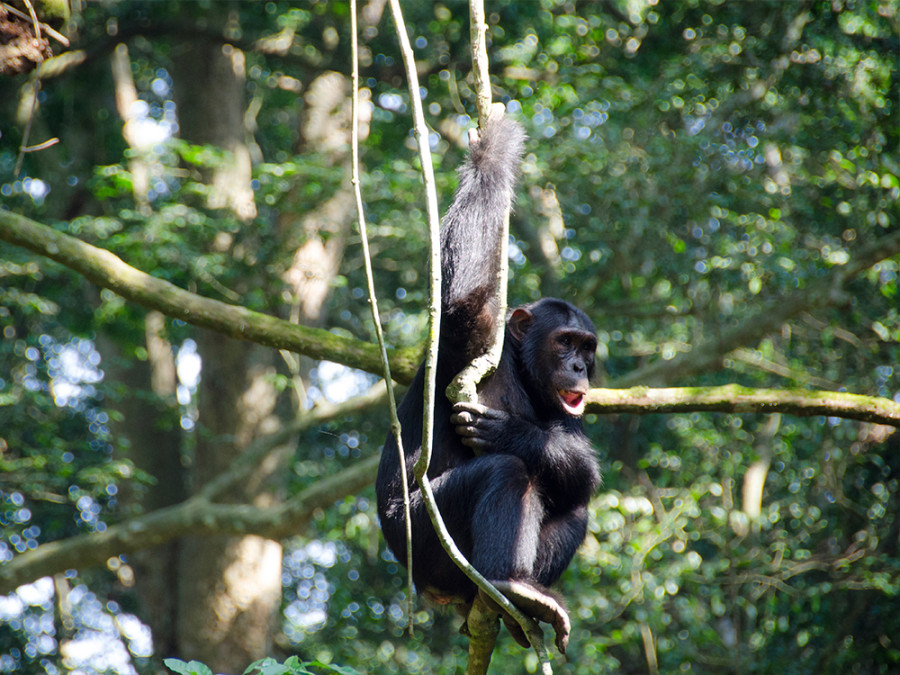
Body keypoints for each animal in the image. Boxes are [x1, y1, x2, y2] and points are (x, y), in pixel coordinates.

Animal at [372, 112, 596, 656]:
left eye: (586, 347)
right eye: (564, 342)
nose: (579, 368)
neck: (517, 367)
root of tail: (430, 593)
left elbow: (580, 466)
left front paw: (513, 433)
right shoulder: (470, 343)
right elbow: (462, 298)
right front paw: (495, 148)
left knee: (575, 501)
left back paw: (521, 600)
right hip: (426, 541)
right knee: (504, 473)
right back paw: (508, 582)